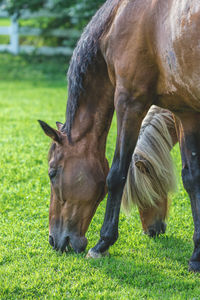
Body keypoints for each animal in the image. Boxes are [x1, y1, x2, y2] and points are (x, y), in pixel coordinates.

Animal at [39, 0, 200, 272]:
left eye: (52, 173)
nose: (53, 240)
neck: (118, 21)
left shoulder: (129, 101)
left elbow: (116, 174)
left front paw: (102, 244)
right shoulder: (186, 112)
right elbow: (192, 178)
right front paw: (197, 254)